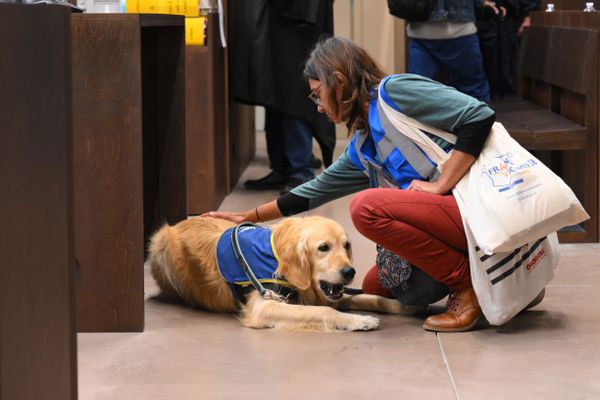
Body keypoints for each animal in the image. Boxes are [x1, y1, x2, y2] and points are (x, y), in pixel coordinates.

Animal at [146, 216, 418, 332]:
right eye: (323, 247)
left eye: (346, 246)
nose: (349, 271)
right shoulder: (265, 305)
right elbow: (325, 311)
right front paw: (360, 321)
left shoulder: (327, 293)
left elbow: (371, 297)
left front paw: (405, 306)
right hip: (158, 243)